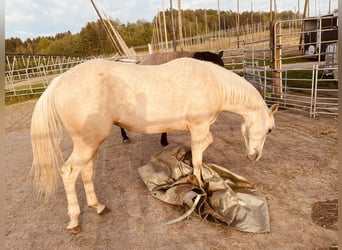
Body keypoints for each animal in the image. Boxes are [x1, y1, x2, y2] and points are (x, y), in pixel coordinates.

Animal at [30, 57, 280, 233]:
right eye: (269, 129)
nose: (255, 156)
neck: (212, 82)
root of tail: (58, 82)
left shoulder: (198, 130)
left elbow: (201, 150)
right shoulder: (198, 128)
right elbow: (199, 159)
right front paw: (200, 187)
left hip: (91, 145)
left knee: (86, 172)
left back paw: (97, 206)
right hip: (86, 144)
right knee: (68, 172)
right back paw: (74, 219)